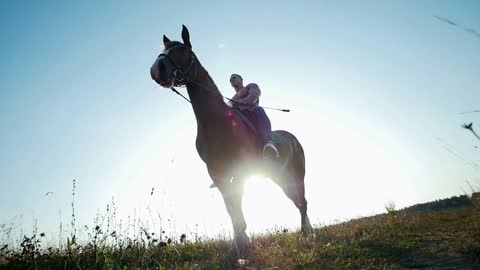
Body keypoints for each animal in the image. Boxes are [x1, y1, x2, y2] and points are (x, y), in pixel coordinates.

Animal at [150, 25, 316, 255]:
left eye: (182, 49)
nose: (157, 70)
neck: (216, 122)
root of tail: (292, 138)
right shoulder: (217, 173)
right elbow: (230, 206)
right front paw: (238, 243)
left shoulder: (239, 169)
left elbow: (236, 202)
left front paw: (242, 242)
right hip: (279, 176)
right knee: (297, 201)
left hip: (297, 173)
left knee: (303, 202)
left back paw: (307, 234)